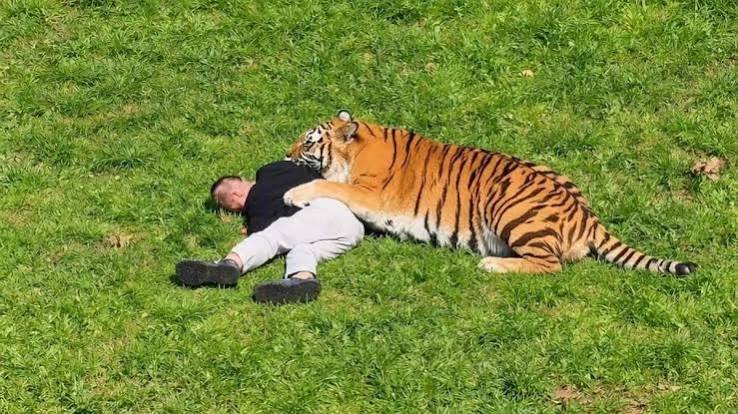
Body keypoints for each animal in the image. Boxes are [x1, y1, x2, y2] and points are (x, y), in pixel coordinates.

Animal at [282, 110, 697, 276]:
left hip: (511, 211)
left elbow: (327, 184)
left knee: (550, 265)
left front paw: (293, 193)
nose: (285, 154)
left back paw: (492, 264)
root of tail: (587, 215)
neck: (361, 145)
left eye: (308, 141)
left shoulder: (371, 194)